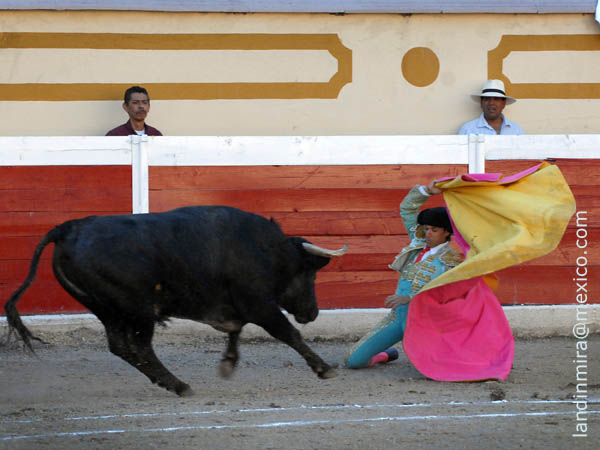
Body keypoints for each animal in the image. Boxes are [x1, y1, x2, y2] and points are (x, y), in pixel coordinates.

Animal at [4, 206, 350, 396]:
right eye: (310, 273)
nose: (313, 313)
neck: (266, 249)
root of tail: (67, 229)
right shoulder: (259, 304)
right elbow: (288, 333)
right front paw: (324, 369)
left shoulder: (236, 306)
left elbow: (235, 331)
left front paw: (228, 364)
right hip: (138, 309)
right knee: (140, 347)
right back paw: (179, 385)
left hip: (106, 309)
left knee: (121, 346)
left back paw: (170, 383)